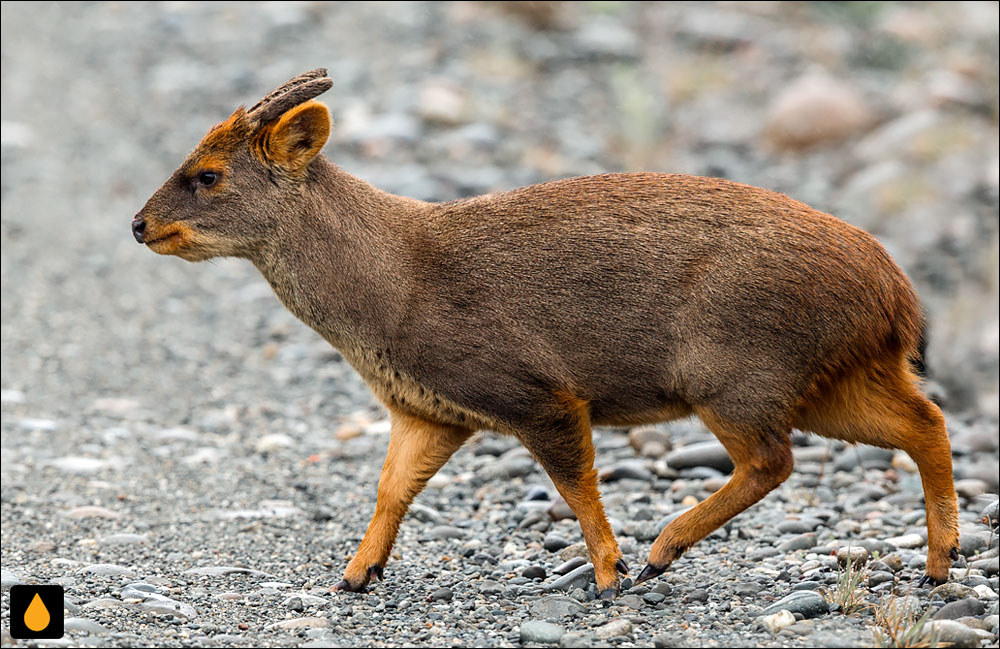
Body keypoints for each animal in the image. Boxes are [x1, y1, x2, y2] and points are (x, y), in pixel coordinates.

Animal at [135, 69, 960, 596]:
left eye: (207, 174)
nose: (139, 224)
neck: (394, 287)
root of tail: (894, 290)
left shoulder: (533, 389)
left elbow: (575, 483)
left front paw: (608, 574)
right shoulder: (430, 408)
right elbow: (389, 488)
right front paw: (354, 575)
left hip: (736, 372)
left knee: (774, 459)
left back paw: (662, 550)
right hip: (830, 379)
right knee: (926, 420)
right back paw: (939, 561)